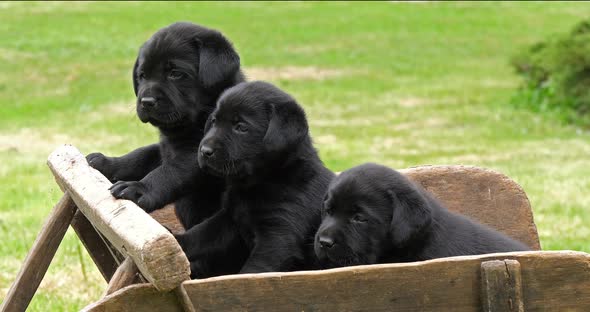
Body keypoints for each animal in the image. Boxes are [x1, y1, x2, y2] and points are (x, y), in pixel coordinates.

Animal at [85, 22, 245, 227]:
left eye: (175, 74)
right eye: (142, 75)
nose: (146, 101)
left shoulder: (201, 153)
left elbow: (170, 172)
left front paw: (139, 188)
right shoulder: (165, 149)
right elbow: (140, 155)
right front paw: (107, 162)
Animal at [173, 81, 336, 278]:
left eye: (241, 127)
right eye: (214, 121)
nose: (204, 151)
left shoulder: (279, 236)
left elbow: (255, 271)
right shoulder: (230, 219)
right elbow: (201, 235)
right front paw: (175, 242)